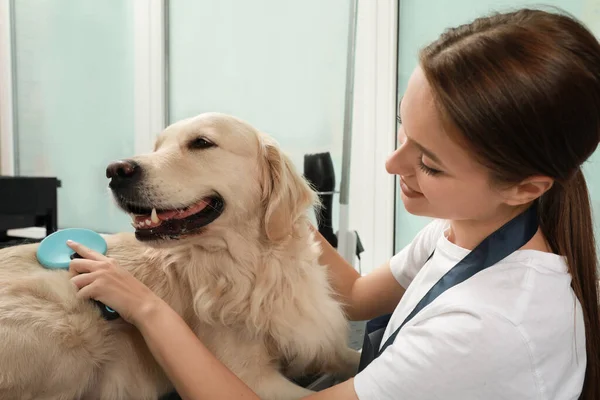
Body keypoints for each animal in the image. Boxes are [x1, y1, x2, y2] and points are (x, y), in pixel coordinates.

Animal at [0, 112, 358, 400]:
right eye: (158, 146)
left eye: (202, 142)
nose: (115, 170)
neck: (254, 267)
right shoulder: (250, 378)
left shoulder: (320, 341)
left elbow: (353, 357)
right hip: (70, 325)